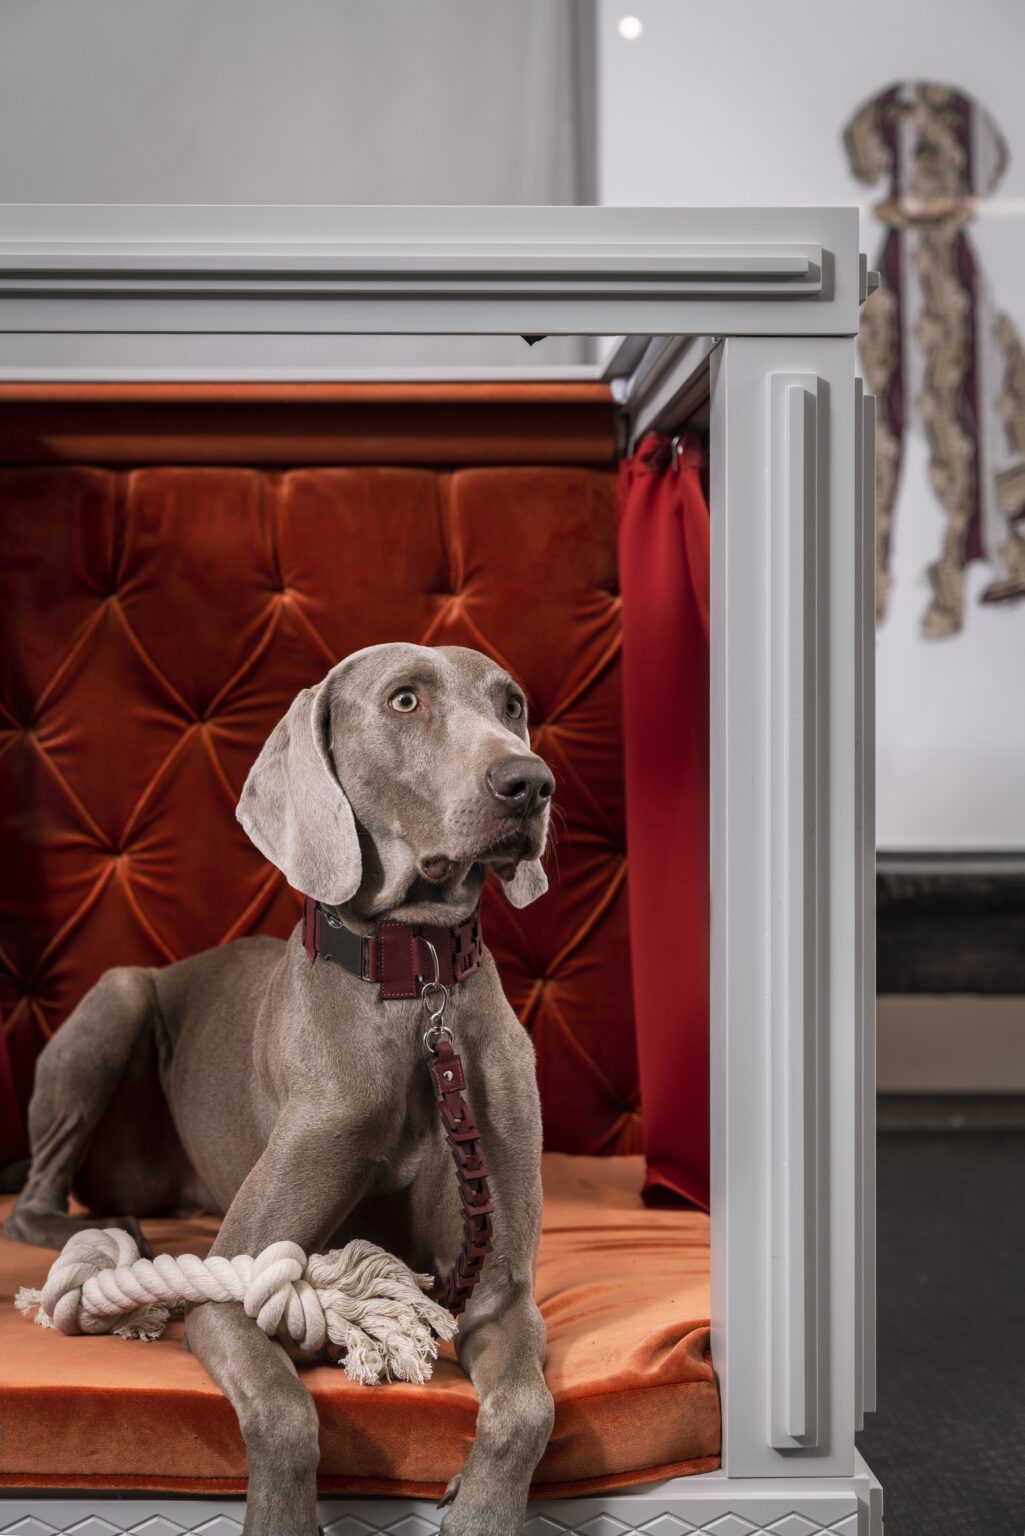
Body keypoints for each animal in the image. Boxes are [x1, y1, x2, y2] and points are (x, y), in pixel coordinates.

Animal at [6, 642, 553, 1536]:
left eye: (511, 706)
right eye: (405, 700)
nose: (530, 782)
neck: (415, 987)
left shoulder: (500, 1286)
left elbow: (526, 1410)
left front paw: (479, 1511)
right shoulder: (229, 1291)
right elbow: (281, 1406)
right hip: (118, 994)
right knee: (33, 1202)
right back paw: (104, 1230)